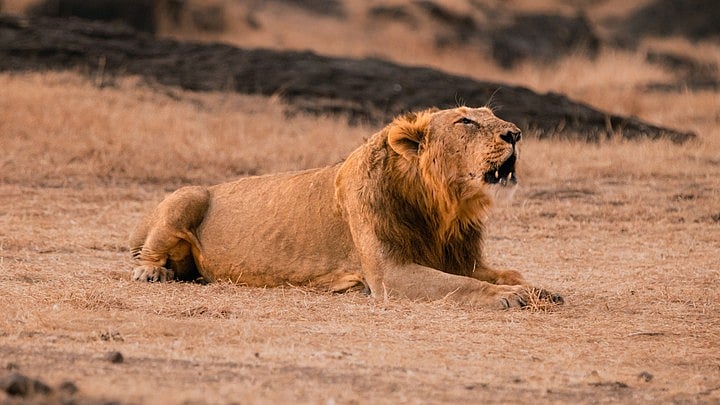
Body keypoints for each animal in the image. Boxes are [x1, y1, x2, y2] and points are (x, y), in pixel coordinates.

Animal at [129, 106, 563, 309]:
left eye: (492, 117)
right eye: (466, 122)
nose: (515, 134)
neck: (442, 207)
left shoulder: (462, 259)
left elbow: (504, 273)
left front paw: (539, 290)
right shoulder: (390, 277)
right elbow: (462, 286)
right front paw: (511, 296)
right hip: (189, 193)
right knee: (147, 250)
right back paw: (151, 272)